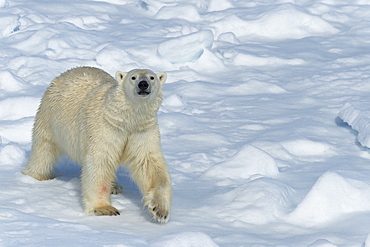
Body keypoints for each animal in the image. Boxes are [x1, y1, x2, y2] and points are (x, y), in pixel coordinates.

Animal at [22, 66, 172, 223]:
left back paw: (114, 187)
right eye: (133, 77)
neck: (127, 119)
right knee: (44, 150)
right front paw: (104, 209)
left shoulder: (141, 131)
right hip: (49, 118)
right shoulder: (105, 127)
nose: (143, 84)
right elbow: (100, 162)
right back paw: (37, 176)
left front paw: (160, 210)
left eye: (152, 77)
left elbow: (149, 163)